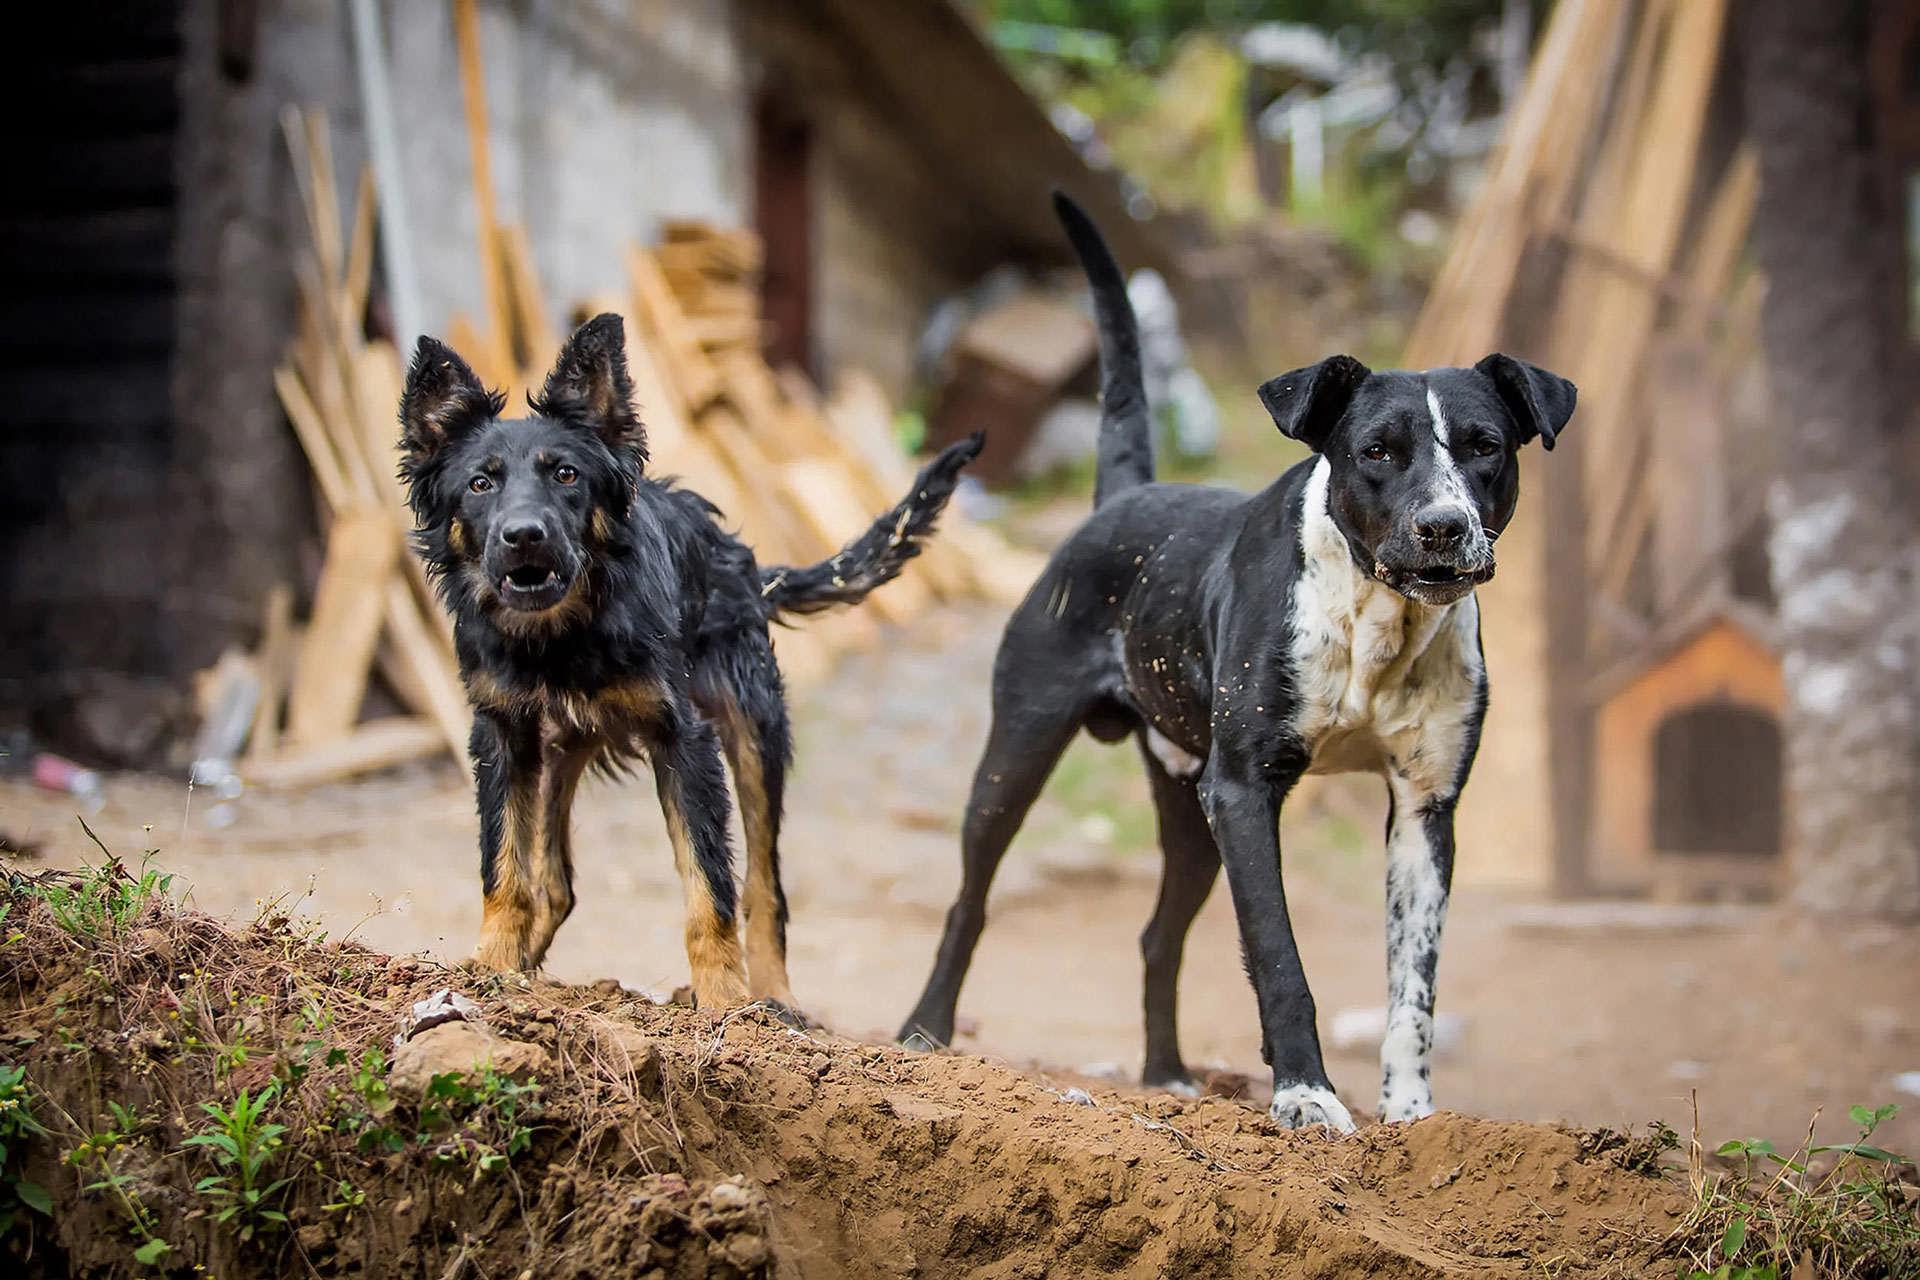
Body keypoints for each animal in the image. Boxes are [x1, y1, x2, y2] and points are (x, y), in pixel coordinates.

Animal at [399, 318, 983, 1013]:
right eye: (480, 484)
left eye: (566, 475)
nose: (523, 535)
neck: (563, 635)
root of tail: (741, 559)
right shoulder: (502, 735)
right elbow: (505, 869)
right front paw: (491, 969)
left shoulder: (685, 740)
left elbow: (711, 888)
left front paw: (724, 1003)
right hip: (560, 751)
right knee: (556, 882)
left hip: (755, 731)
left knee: (765, 887)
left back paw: (774, 999)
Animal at [898, 192, 1574, 1128]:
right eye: (1377, 450)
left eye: (1485, 446)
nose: (1443, 527)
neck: (1376, 621)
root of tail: (1123, 496)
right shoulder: (1245, 790)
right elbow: (1281, 959)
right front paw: (1307, 1097)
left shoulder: (1425, 809)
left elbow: (1414, 989)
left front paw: (1410, 1117)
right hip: (1018, 757)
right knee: (970, 903)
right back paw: (922, 1034)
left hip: (1188, 806)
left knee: (1156, 936)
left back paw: (1166, 1075)